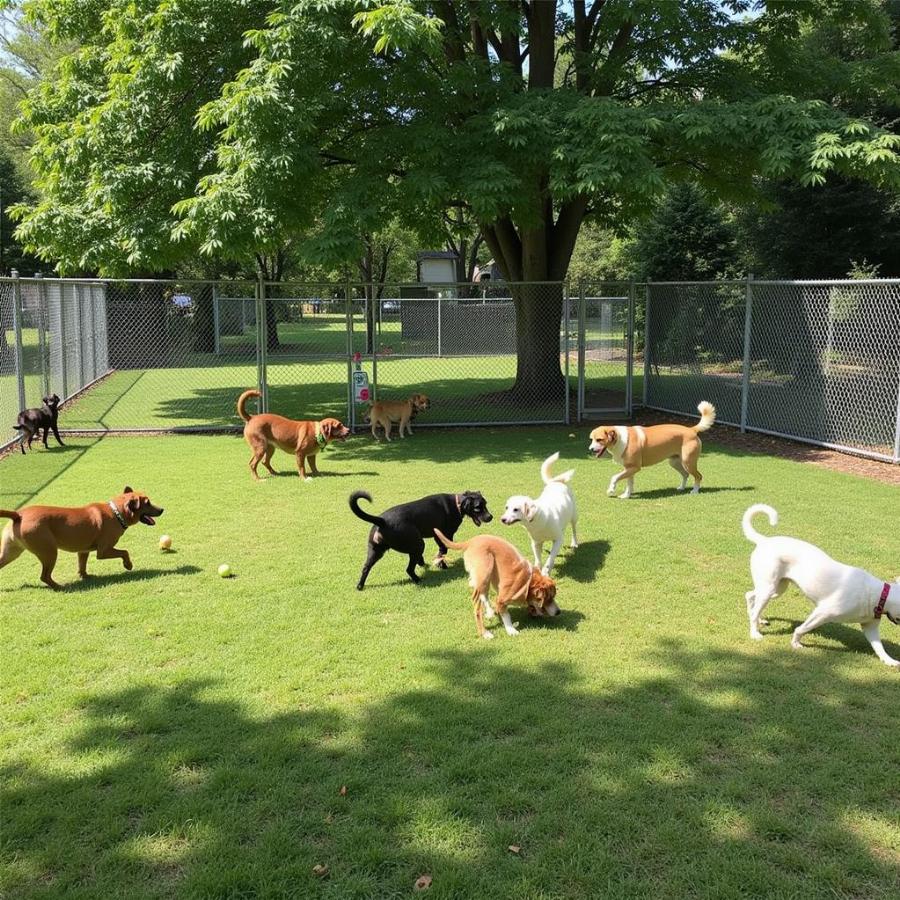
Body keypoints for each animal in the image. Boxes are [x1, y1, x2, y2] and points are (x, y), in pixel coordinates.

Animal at [0, 486, 164, 592]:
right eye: (148, 503)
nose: (162, 509)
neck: (116, 513)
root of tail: (18, 514)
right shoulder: (103, 551)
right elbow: (125, 551)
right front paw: (128, 565)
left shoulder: (83, 551)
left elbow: (82, 565)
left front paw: (85, 576)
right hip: (49, 552)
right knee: (44, 576)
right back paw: (59, 587)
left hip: (11, 552)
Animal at [350, 492, 492, 592]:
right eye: (478, 508)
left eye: (486, 504)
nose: (490, 517)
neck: (457, 504)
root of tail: (381, 521)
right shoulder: (445, 536)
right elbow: (443, 551)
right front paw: (442, 565)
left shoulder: (437, 536)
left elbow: (440, 551)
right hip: (417, 543)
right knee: (409, 569)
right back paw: (418, 578)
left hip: (376, 551)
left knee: (365, 568)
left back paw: (360, 586)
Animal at [740, 502, 896, 664]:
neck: (879, 595)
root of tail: (764, 541)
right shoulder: (822, 613)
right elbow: (801, 629)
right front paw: (795, 643)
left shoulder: (870, 627)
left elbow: (879, 648)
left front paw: (890, 661)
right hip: (769, 589)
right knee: (754, 609)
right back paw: (755, 633)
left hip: (777, 588)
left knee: (750, 597)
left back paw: (759, 619)